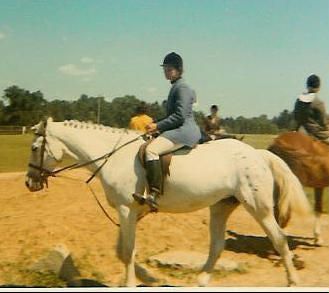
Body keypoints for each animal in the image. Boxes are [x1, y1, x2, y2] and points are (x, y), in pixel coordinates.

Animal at [24, 118, 308, 286]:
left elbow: (127, 250)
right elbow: (122, 250)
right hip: (221, 206)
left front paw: (131, 283)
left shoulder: (127, 210)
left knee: (279, 240)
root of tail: (258, 154)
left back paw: (293, 281)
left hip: (259, 208)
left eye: (35, 148)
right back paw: (200, 282)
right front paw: (144, 277)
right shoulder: (132, 212)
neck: (113, 156)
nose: (29, 182)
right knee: (217, 245)